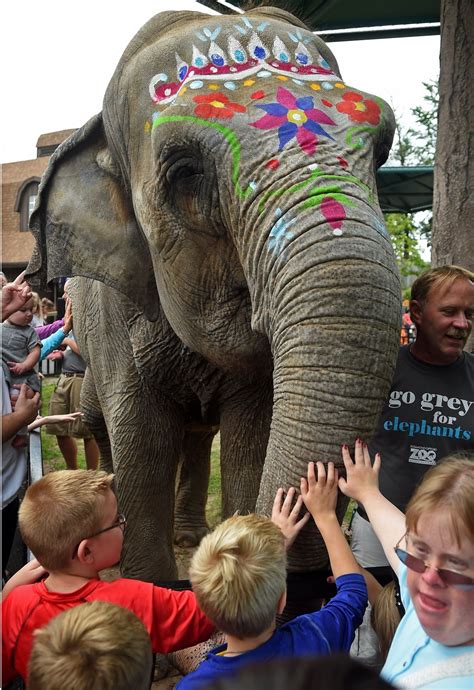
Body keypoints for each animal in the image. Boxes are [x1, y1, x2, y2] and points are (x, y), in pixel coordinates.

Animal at [28, 6, 401, 582]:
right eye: (186, 172)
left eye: (382, 147)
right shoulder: (116, 313)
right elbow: (141, 441)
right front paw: (144, 582)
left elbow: (252, 439)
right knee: (99, 421)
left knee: (198, 434)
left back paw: (188, 535)